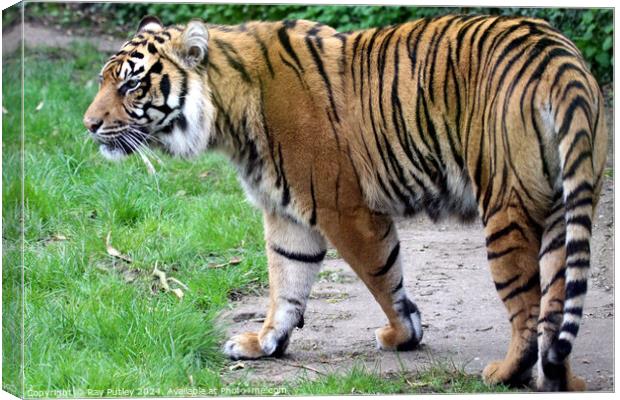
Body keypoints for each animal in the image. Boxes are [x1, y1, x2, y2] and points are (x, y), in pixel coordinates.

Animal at [81, 14, 604, 390]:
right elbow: (286, 281)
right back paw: (561, 380)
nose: (87, 124)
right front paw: (264, 342)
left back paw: (506, 373)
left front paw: (401, 335)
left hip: (505, 208)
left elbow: (382, 277)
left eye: (130, 85)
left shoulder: (344, 209)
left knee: (527, 309)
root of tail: (560, 60)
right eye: (106, 80)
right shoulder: (287, 215)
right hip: (561, 209)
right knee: (556, 306)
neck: (228, 114)